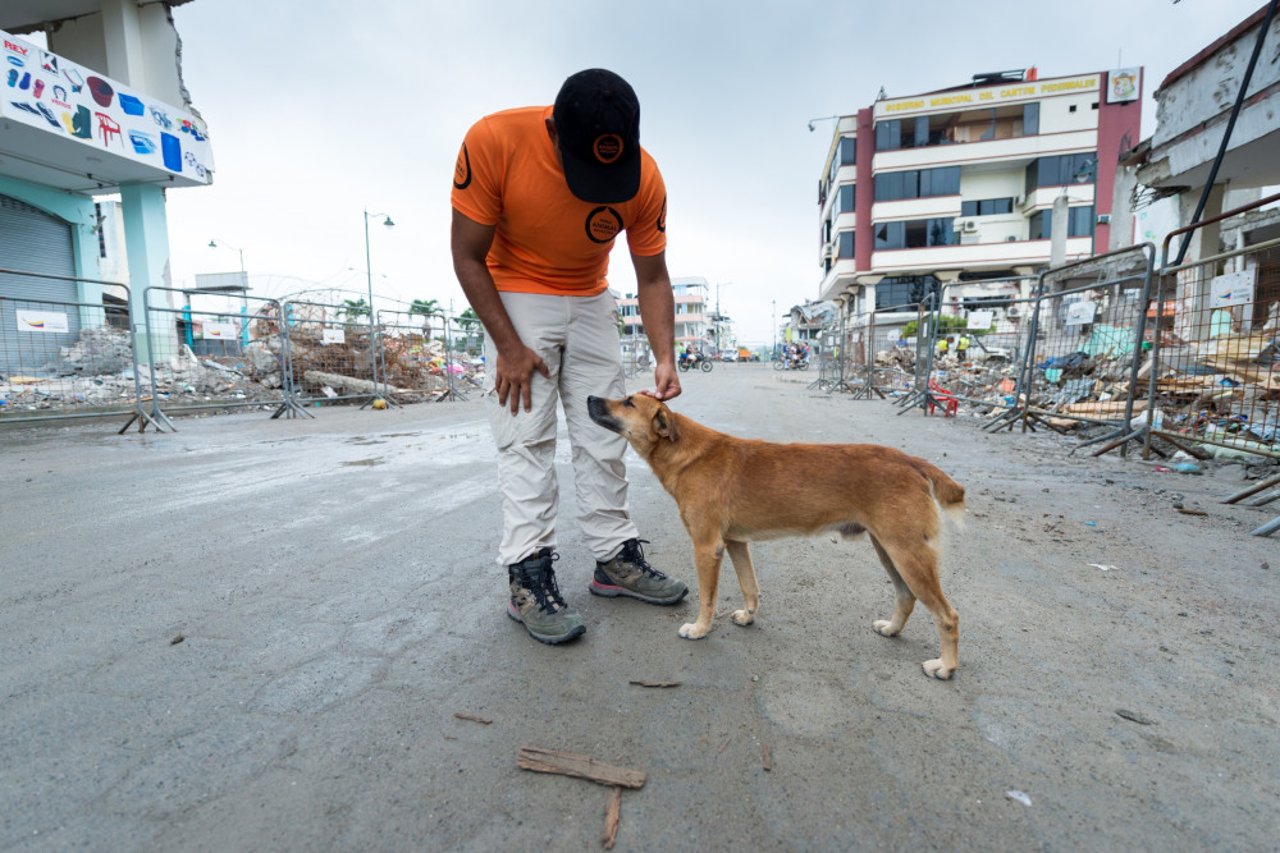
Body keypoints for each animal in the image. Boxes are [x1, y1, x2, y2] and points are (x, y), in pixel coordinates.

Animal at [586, 391, 962, 676]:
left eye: (628, 402)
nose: (589, 397)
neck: (687, 453)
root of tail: (910, 461)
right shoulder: (735, 543)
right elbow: (750, 588)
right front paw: (748, 616)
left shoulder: (707, 547)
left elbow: (708, 598)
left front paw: (700, 629)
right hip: (890, 551)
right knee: (906, 596)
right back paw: (893, 629)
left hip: (907, 554)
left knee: (947, 616)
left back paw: (946, 666)